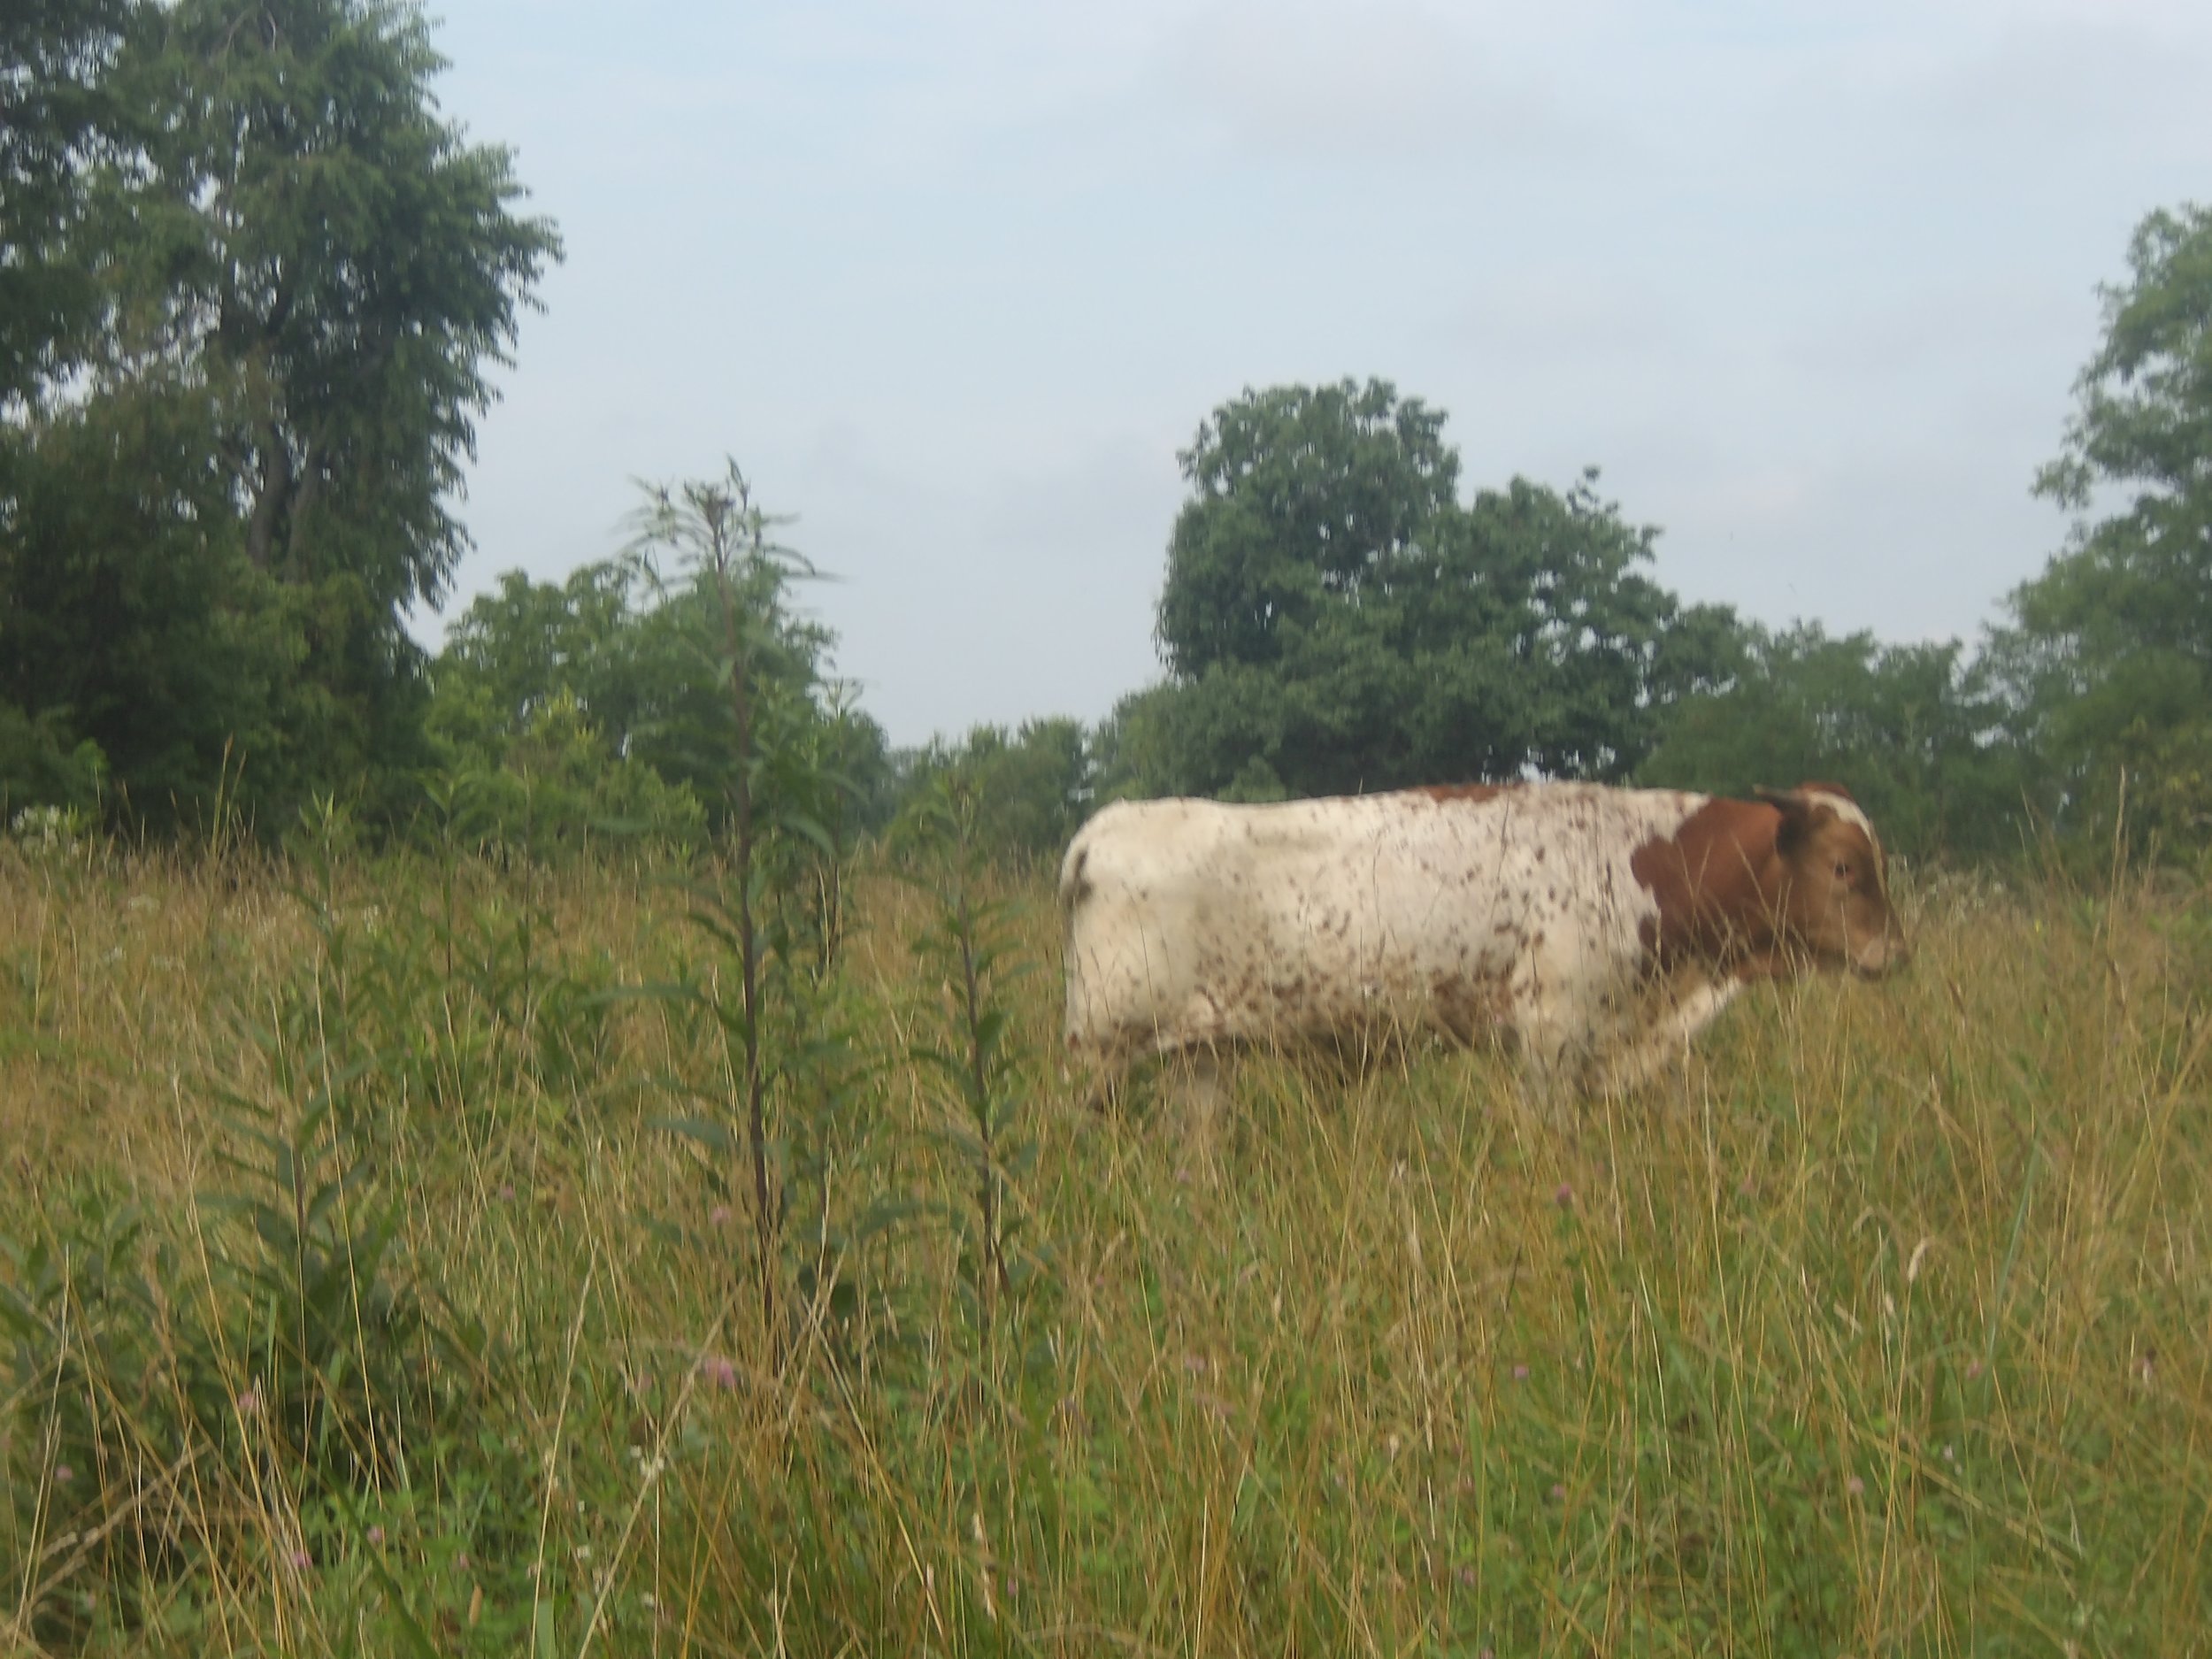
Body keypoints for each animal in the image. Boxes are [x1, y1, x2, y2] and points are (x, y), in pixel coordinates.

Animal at [1058, 780, 1908, 1115]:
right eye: (1843, 866)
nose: (1896, 953)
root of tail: (1106, 828)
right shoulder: (1552, 1036)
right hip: (1100, 1049)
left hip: (1198, 1058)